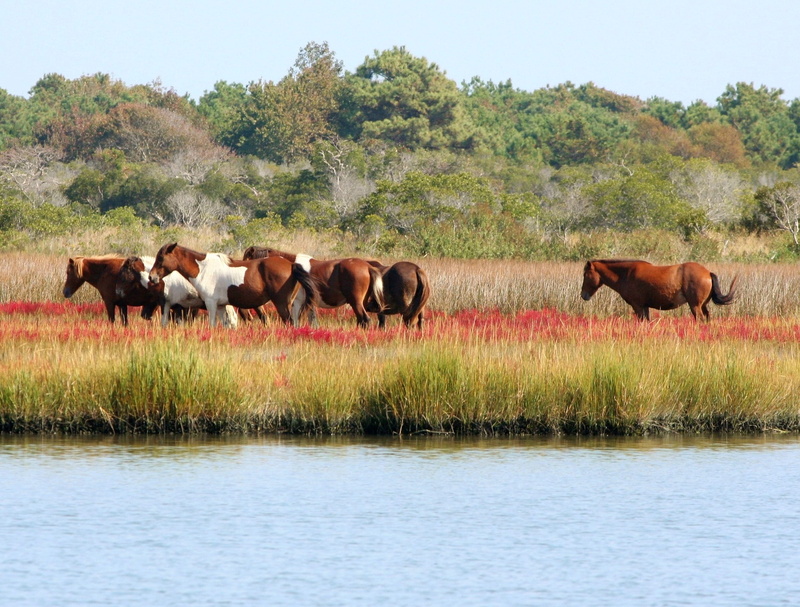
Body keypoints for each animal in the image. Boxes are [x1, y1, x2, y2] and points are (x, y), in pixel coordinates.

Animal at [148, 243, 318, 327]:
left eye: (161, 258)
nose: (152, 277)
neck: (204, 268)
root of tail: (291, 264)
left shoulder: (211, 303)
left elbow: (212, 324)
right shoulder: (222, 306)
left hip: (282, 304)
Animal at [243, 246, 385, 328]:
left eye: (247, 259)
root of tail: (368, 267)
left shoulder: (297, 302)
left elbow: (295, 321)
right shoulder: (308, 304)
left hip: (356, 302)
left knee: (364, 320)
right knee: (361, 320)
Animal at [580, 259, 738, 321]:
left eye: (586, 275)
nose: (583, 295)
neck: (626, 274)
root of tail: (707, 273)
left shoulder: (638, 306)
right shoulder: (645, 307)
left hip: (695, 306)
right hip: (703, 305)